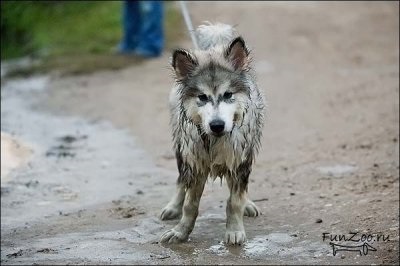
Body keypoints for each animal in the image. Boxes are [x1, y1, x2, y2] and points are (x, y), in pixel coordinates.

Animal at [159, 22, 266, 245]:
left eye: (228, 95)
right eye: (202, 97)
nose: (217, 125)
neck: (214, 140)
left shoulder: (239, 159)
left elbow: (235, 201)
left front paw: (234, 229)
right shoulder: (195, 162)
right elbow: (189, 204)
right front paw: (180, 231)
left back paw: (248, 202)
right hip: (181, 149)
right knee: (181, 180)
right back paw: (173, 206)